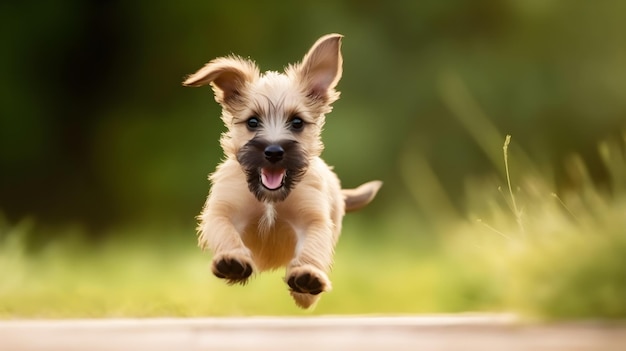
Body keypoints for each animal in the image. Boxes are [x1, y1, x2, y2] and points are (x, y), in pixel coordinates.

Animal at [183, 34, 380, 310]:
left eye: (297, 122)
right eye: (252, 121)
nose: (274, 151)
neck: (270, 199)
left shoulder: (313, 220)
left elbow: (313, 247)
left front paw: (307, 275)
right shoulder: (222, 211)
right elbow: (225, 231)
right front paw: (232, 260)